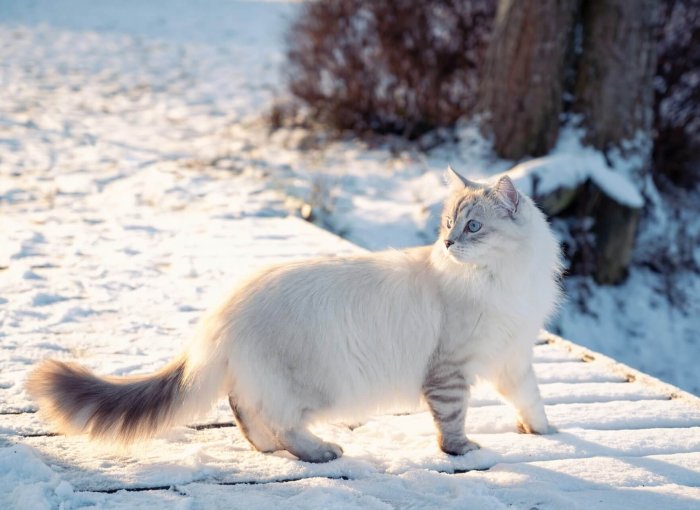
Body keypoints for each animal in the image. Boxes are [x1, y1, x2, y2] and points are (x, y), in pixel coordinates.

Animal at [28, 167, 564, 462]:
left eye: (472, 227)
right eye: (449, 225)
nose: (449, 244)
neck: (506, 282)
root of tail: (222, 309)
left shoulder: (512, 358)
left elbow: (532, 402)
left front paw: (547, 433)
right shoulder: (452, 370)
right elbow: (452, 422)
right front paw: (462, 449)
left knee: (244, 410)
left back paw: (267, 449)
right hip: (314, 384)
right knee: (278, 419)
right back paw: (319, 451)